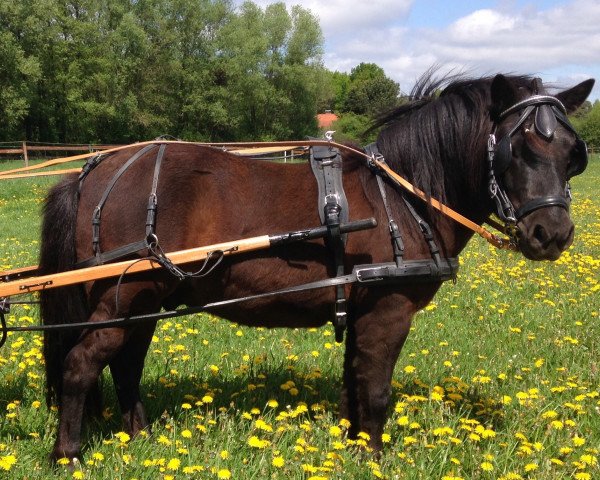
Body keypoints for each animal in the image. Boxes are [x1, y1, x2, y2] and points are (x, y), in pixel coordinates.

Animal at [39, 73, 592, 460]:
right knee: (82, 364)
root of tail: (94, 171)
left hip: (145, 302)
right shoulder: (389, 311)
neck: (401, 197)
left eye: (571, 154)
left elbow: (354, 382)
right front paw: (374, 457)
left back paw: (142, 438)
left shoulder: (363, 311)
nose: (552, 235)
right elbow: (376, 389)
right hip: (123, 298)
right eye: (518, 148)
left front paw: (352, 446)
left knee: (126, 364)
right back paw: (69, 454)